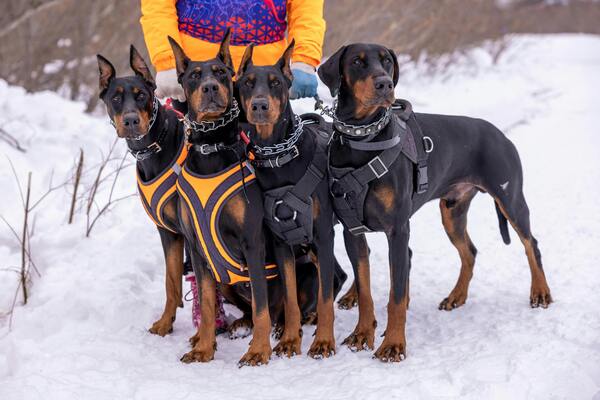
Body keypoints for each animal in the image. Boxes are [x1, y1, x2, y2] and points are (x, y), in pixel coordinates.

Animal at [96, 46, 188, 338]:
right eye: (115, 98)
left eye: (141, 96)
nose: (131, 120)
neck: (154, 146)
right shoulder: (167, 231)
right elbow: (171, 281)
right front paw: (166, 322)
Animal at [237, 42, 364, 358]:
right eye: (247, 83)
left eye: (276, 83)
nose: (259, 106)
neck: (280, 157)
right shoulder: (282, 242)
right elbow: (291, 298)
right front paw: (289, 339)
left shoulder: (322, 233)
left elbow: (324, 295)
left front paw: (324, 341)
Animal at [318, 43, 552, 362]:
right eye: (357, 62)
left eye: (387, 61)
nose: (385, 84)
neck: (363, 139)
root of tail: (500, 134)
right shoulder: (352, 231)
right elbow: (366, 292)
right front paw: (362, 334)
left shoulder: (397, 230)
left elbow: (396, 296)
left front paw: (393, 345)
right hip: (452, 211)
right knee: (470, 252)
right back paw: (457, 296)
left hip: (510, 198)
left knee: (531, 244)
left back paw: (540, 292)